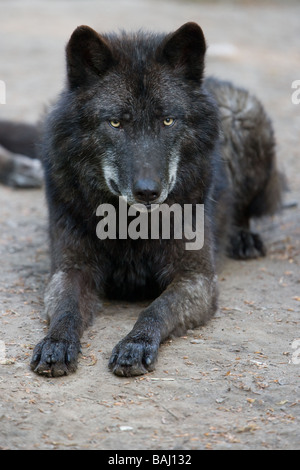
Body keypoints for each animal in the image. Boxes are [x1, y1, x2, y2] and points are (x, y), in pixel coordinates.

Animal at [29, 23, 282, 378]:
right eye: (116, 122)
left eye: (167, 121)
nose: (148, 191)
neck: (130, 227)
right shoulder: (69, 269)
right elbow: (66, 309)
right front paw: (56, 344)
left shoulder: (196, 279)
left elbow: (155, 309)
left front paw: (135, 345)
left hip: (244, 117)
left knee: (245, 210)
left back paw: (243, 238)